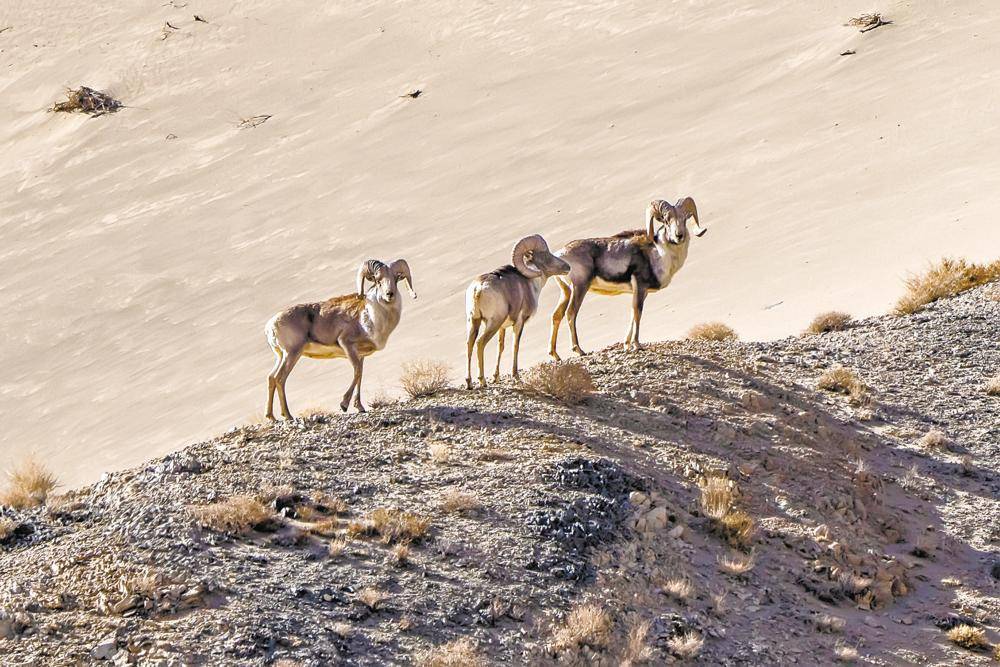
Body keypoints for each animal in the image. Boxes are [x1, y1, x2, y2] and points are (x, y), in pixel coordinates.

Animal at [264, 260, 416, 420]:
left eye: (395, 278)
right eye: (378, 280)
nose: (389, 294)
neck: (371, 318)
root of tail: (270, 326)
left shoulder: (360, 356)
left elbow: (360, 376)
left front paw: (360, 407)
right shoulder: (347, 345)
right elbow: (357, 373)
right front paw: (344, 405)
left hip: (281, 356)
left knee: (271, 378)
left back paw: (271, 417)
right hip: (292, 354)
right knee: (280, 379)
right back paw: (287, 415)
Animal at [462, 236, 568, 388]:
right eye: (546, 256)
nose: (567, 267)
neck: (531, 284)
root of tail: (479, 288)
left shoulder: (503, 328)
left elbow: (501, 347)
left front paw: (496, 377)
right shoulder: (519, 322)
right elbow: (515, 346)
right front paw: (516, 376)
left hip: (474, 321)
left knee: (469, 344)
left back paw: (469, 383)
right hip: (493, 323)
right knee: (480, 343)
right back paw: (482, 381)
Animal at [548, 197, 704, 360]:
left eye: (684, 219)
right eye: (667, 220)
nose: (679, 236)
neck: (659, 255)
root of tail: (560, 255)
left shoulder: (642, 292)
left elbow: (632, 314)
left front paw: (627, 345)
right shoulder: (640, 287)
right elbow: (637, 312)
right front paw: (637, 345)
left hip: (566, 291)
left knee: (556, 316)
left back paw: (555, 355)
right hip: (579, 287)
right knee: (571, 313)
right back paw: (579, 350)